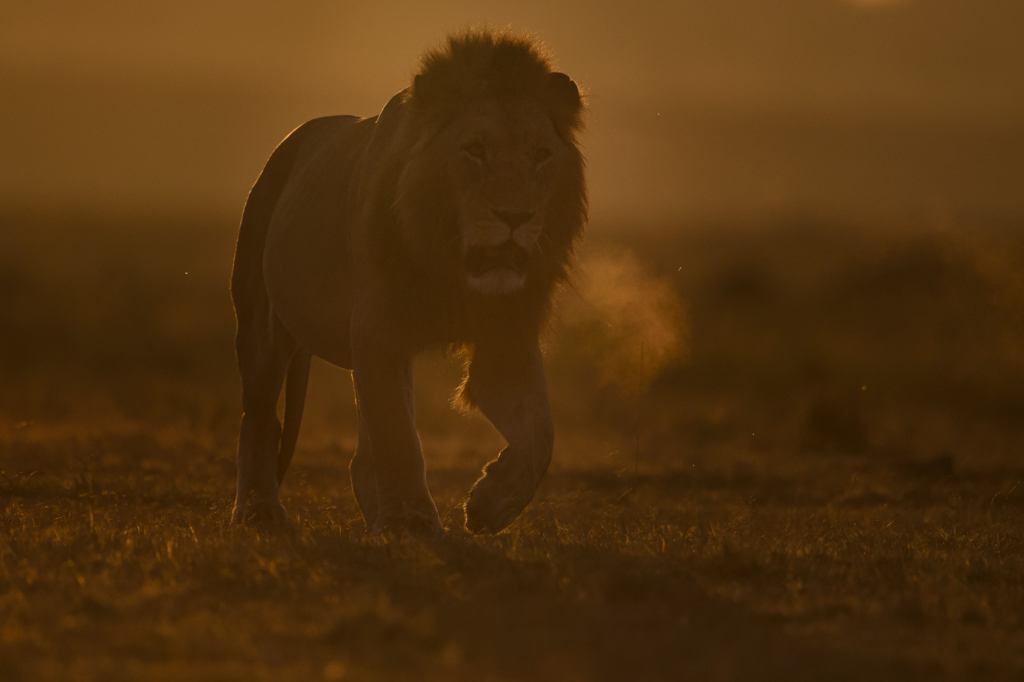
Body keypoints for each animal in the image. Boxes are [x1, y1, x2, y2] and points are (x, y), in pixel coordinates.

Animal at [229, 29, 589, 532]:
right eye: (475, 151)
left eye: (540, 155)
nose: (515, 217)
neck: (451, 267)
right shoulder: (378, 330)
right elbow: (397, 436)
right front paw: (411, 520)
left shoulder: (506, 340)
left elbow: (541, 434)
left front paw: (491, 503)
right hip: (261, 321)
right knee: (260, 419)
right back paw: (259, 509)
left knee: (359, 452)